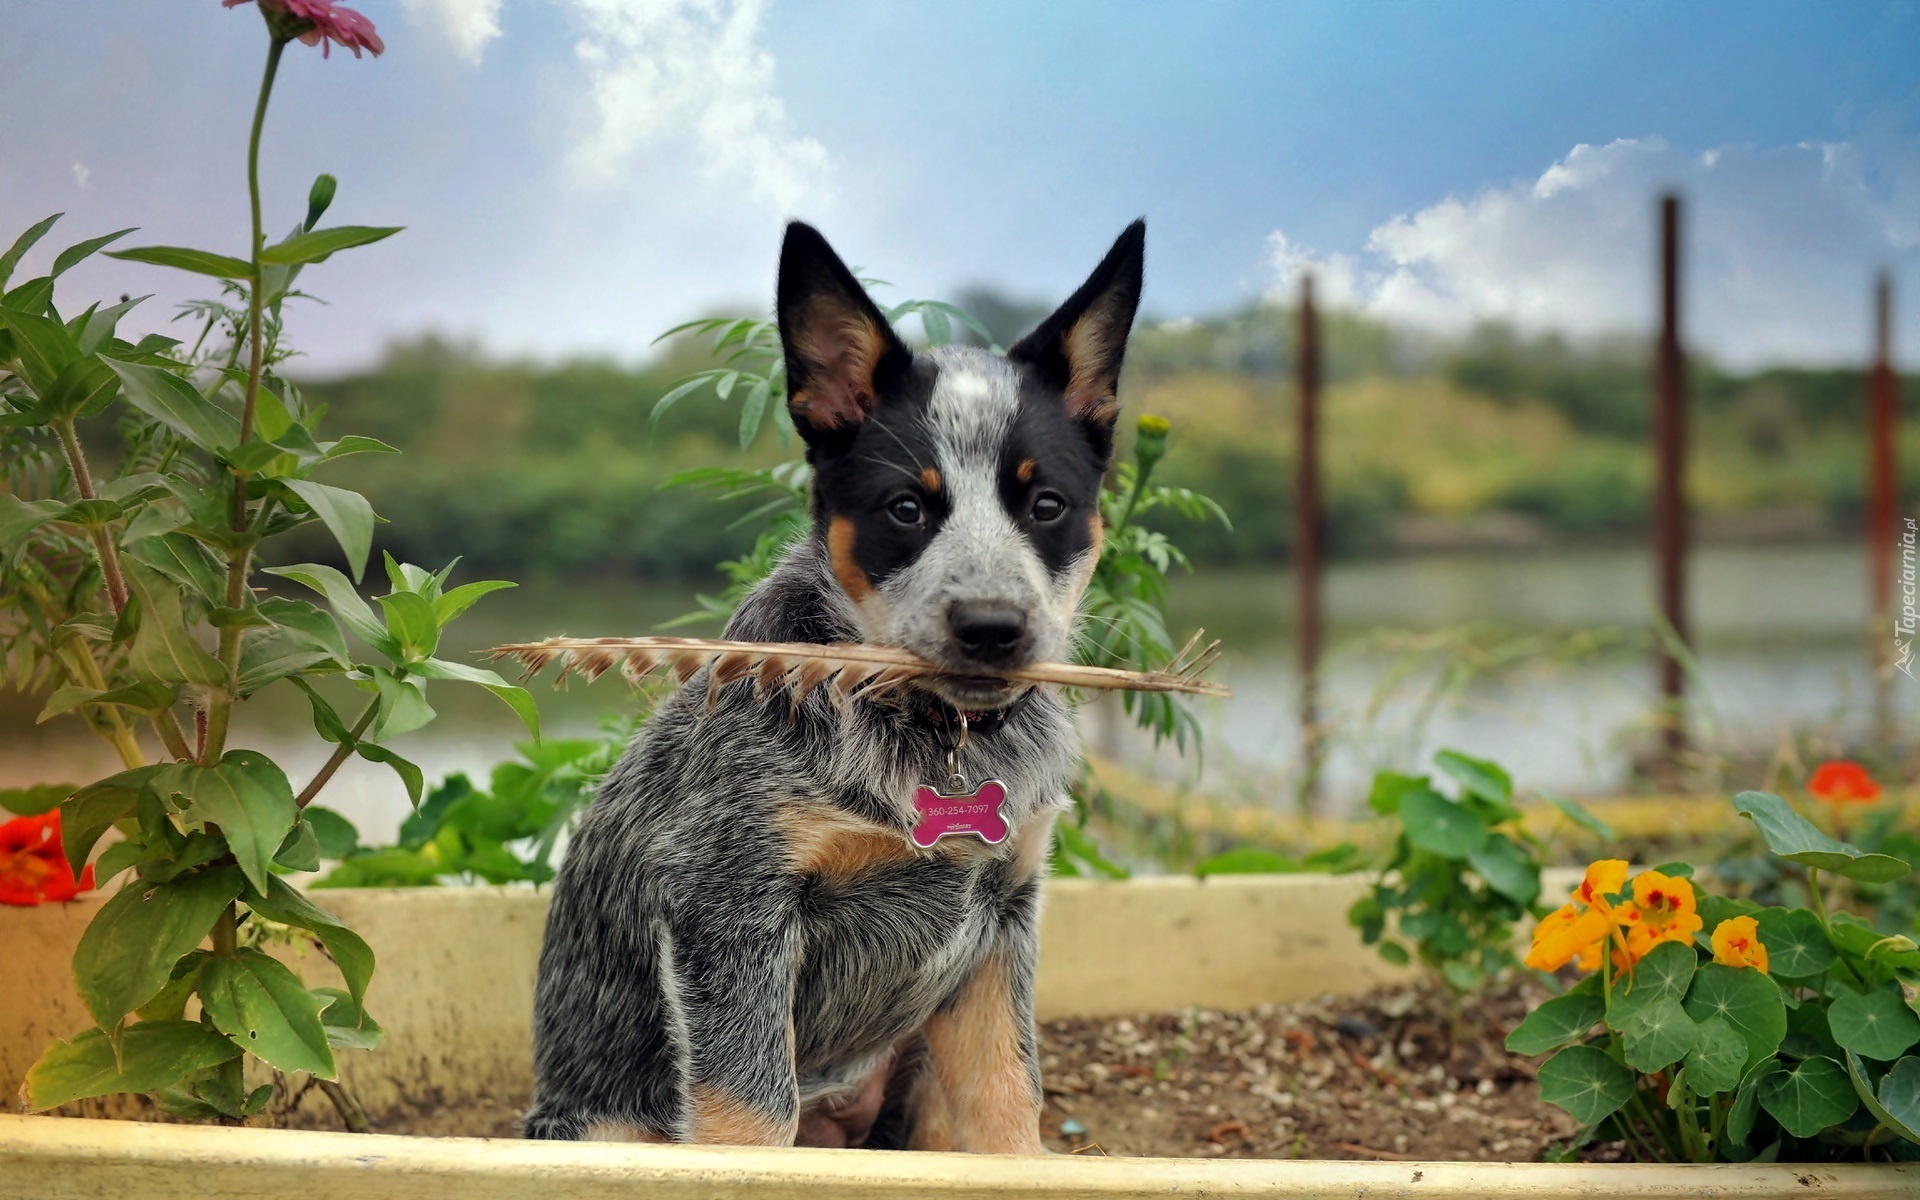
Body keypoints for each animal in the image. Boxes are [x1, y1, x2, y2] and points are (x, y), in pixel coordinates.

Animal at [526, 217, 1136, 1152]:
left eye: (1047, 506)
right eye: (906, 509)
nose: (993, 627)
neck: (935, 739)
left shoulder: (1003, 914)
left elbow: (1008, 1097)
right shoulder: (727, 904)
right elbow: (750, 1112)